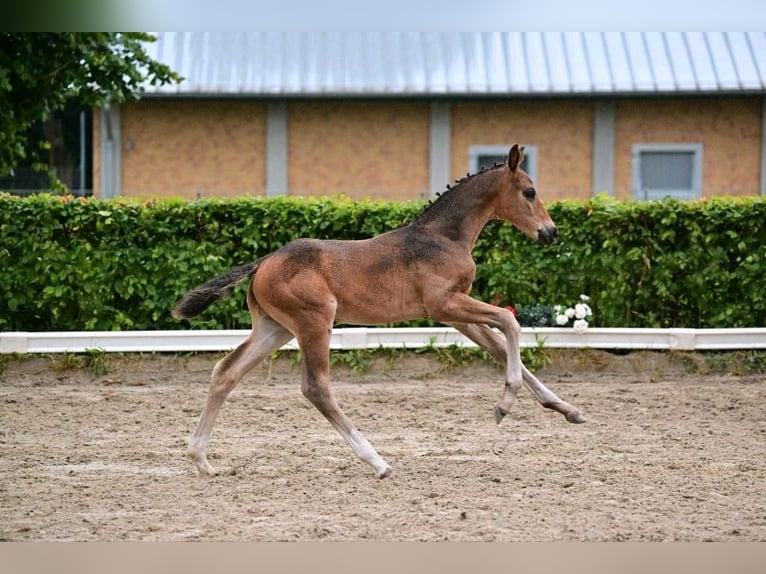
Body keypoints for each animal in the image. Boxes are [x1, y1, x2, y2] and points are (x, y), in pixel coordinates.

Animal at [174, 145, 588, 482]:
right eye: (529, 192)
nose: (550, 233)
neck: (443, 237)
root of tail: (264, 262)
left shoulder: (454, 314)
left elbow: (500, 347)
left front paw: (567, 409)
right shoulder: (445, 304)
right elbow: (509, 320)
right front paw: (504, 404)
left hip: (275, 329)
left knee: (226, 372)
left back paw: (201, 460)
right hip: (314, 323)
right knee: (315, 387)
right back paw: (377, 461)